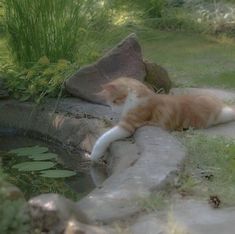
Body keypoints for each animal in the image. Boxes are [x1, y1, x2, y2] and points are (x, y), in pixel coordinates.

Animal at [90, 77, 235, 162]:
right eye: (109, 104)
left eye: (114, 101)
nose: (113, 110)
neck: (136, 96)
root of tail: (217, 101)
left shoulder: (128, 125)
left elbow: (104, 137)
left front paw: (94, 155)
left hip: (219, 115)